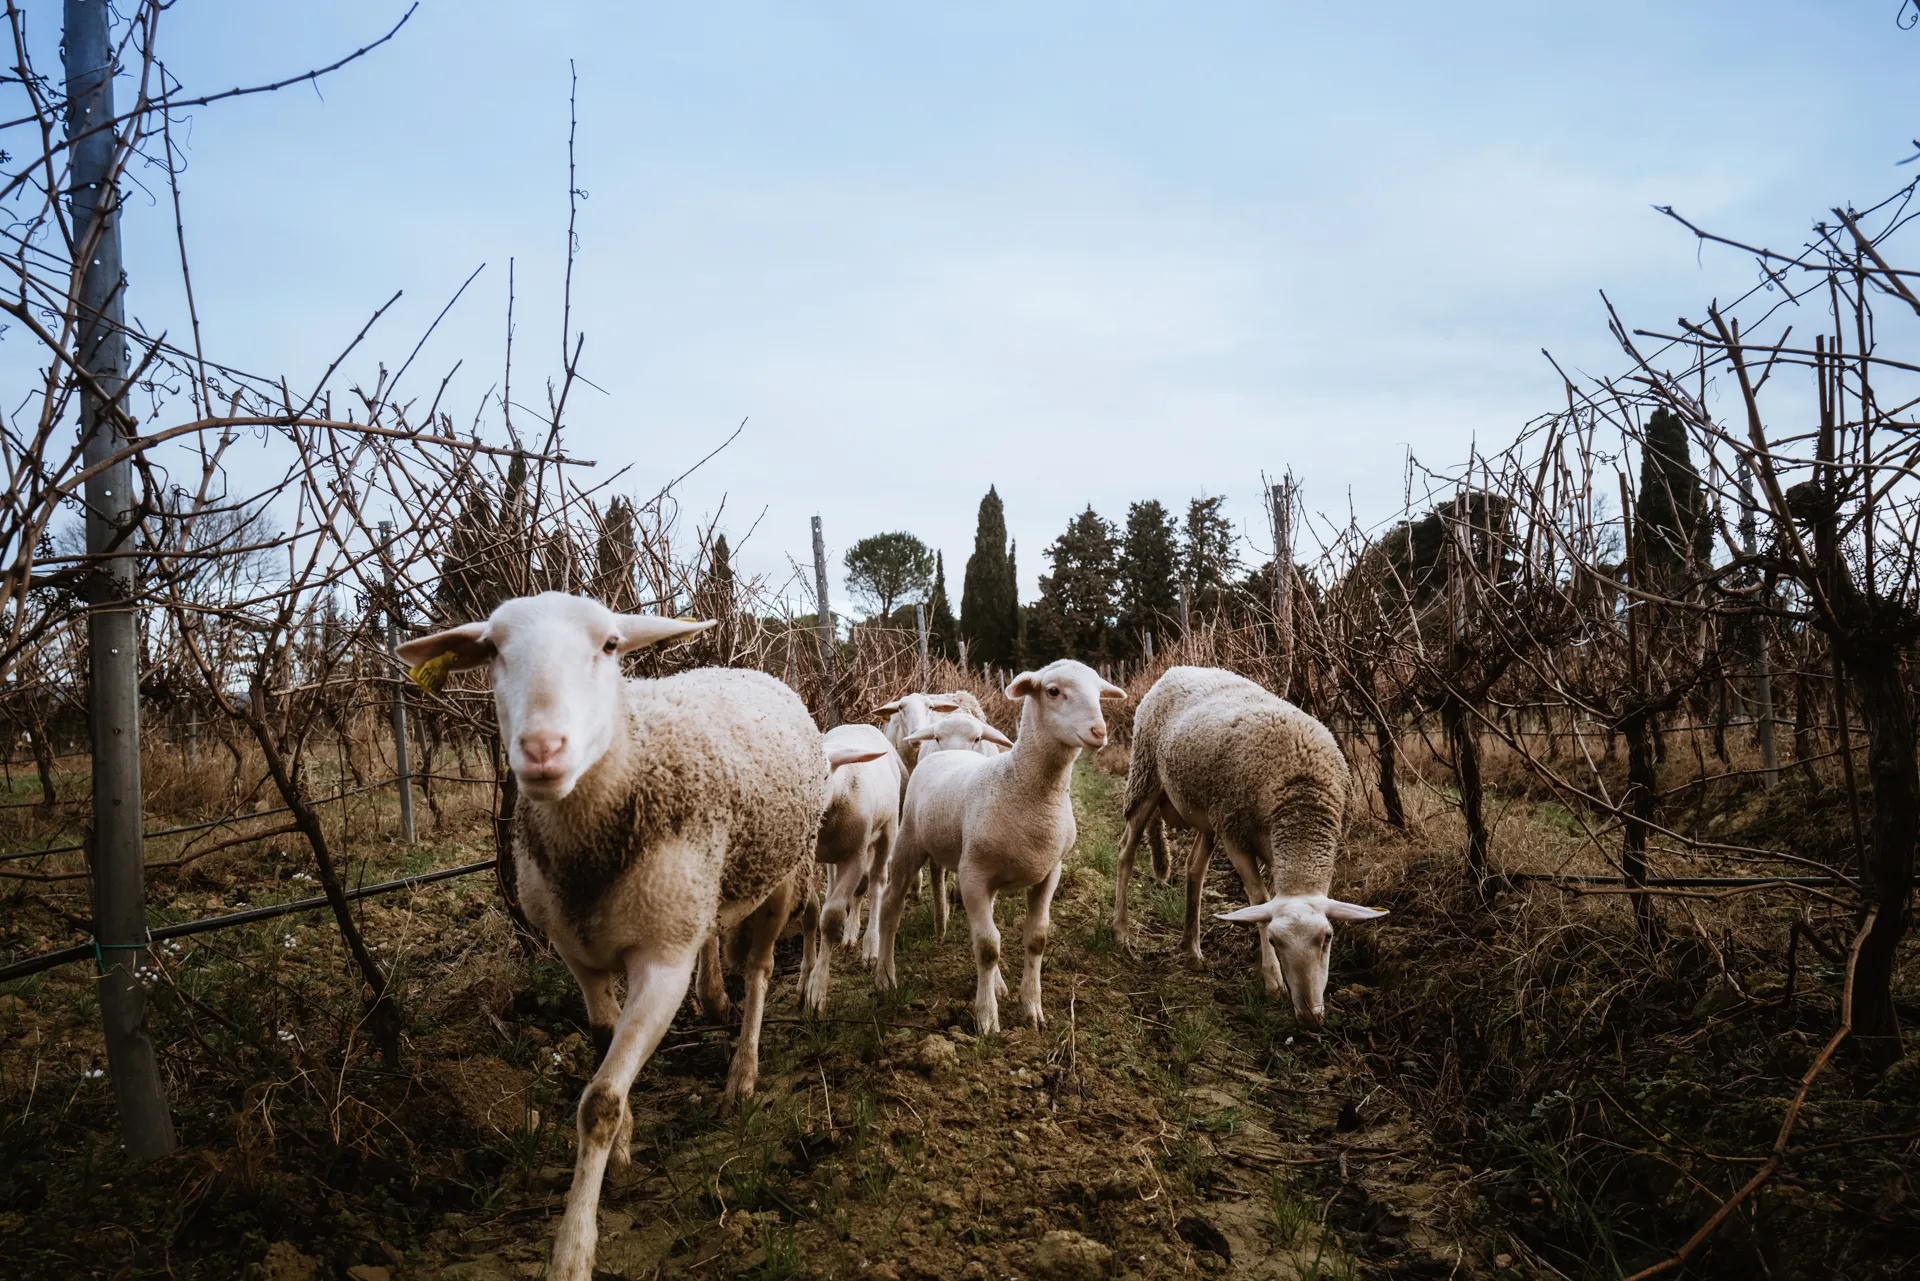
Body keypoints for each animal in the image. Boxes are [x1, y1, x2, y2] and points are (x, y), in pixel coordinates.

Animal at [397, 591, 864, 1281]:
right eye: (492, 651)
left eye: (611, 645)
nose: (542, 749)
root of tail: (741, 667)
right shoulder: (578, 955)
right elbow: (602, 1052)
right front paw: (621, 1151)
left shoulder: (661, 962)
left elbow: (599, 1100)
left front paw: (572, 1249)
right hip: (701, 889)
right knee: (715, 939)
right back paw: (714, 1000)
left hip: (784, 873)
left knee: (758, 972)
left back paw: (743, 1073)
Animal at [875, 660, 1121, 1029]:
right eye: (1053, 691)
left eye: (1099, 692)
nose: (1099, 731)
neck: (1021, 784)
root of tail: (950, 752)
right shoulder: (973, 876)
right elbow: (989, 946)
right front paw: (987, 1018)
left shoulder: (1049, 872)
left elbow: (1035, 939)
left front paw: (1031, 1010)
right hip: (909, 844)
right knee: (891, 907)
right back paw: (884, 977)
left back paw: (998, 983)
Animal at [1105, 668, 1390, 1029]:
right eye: (1275, 940)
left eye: (1328, 937)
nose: (1310, 1018)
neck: (1302, 804)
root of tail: (1175, 671)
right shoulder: (1236, 837)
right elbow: (1259, 898)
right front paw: (1272, 978)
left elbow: (1264, 901)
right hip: (1146, 777)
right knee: (1125, 851)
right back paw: (1121, 932)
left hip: (1209, 812)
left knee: (1194, 868)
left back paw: (1192, 949)